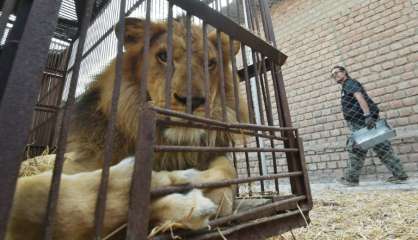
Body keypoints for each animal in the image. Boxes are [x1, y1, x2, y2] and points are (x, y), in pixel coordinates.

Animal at [5, 17, 248, 240]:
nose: (192, 101)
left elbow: (228, 169)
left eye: (210, 64)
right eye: (163, 56)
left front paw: (212, 193)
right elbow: (44, 196)